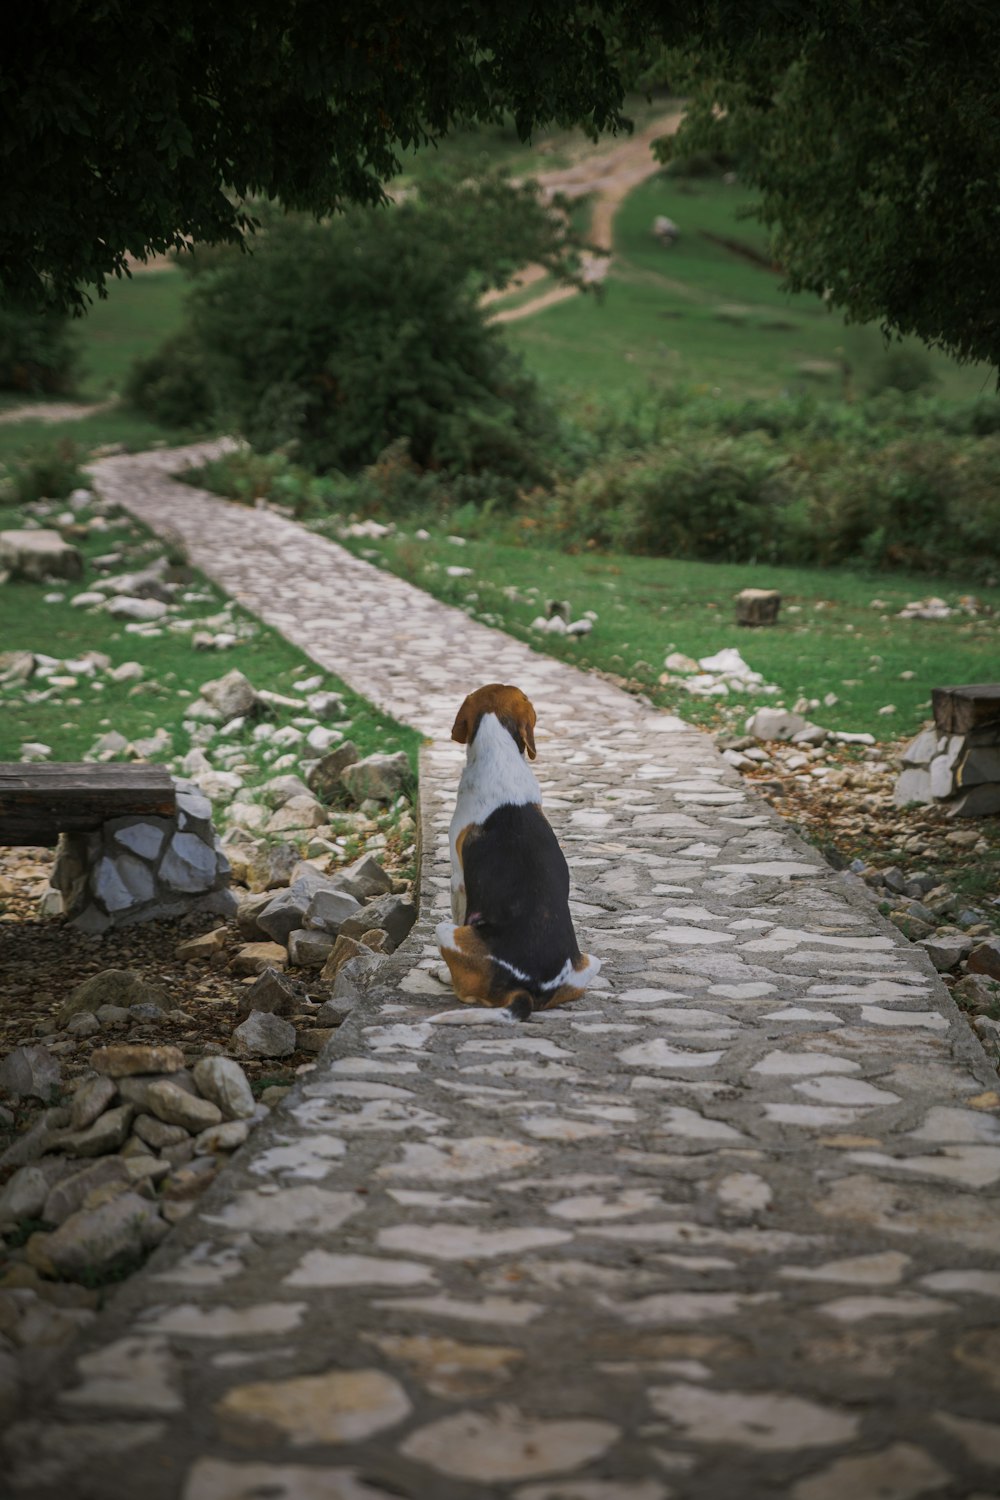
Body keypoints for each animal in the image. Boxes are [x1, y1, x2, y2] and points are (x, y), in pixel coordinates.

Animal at [434, 687, 599, 1026]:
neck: (500, 751)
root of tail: (525, 992)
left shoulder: (458, 880)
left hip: (446, 931)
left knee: (464, 990)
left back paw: (444, 975)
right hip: (592, 962)